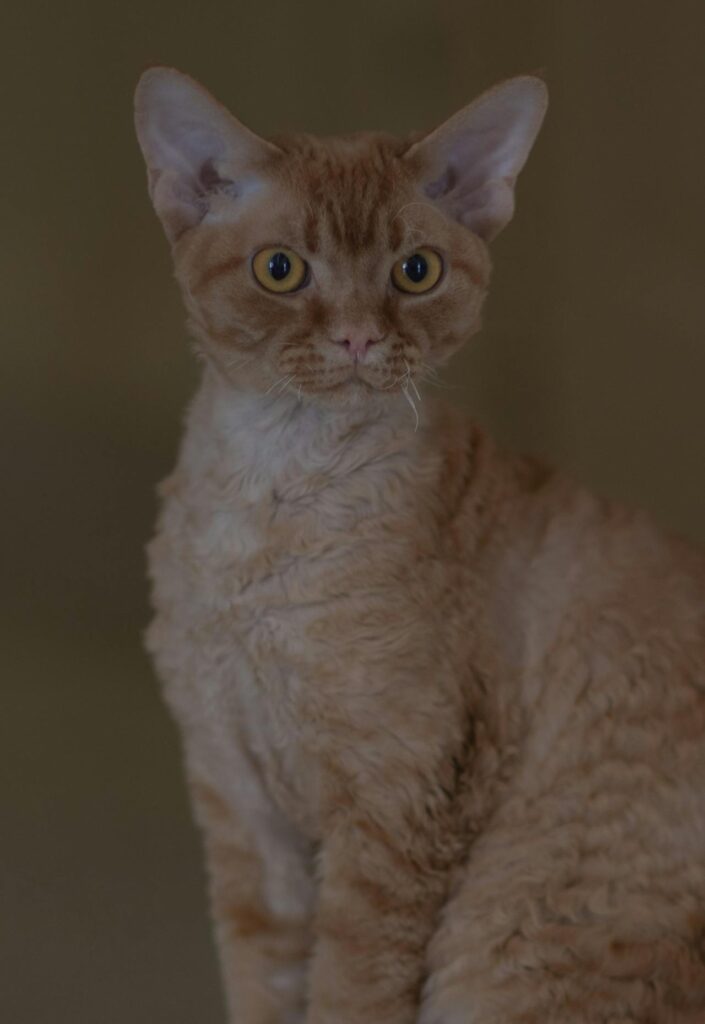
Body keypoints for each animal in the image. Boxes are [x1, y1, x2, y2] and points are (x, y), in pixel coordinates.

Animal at [135, 68, 705, 1019]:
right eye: (280, 270)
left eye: (416, 271)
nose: (358, 336)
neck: (271, 491)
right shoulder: (241, 810)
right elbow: (263, 988)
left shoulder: (396, 802)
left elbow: (347, 993)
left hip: (502, 946)